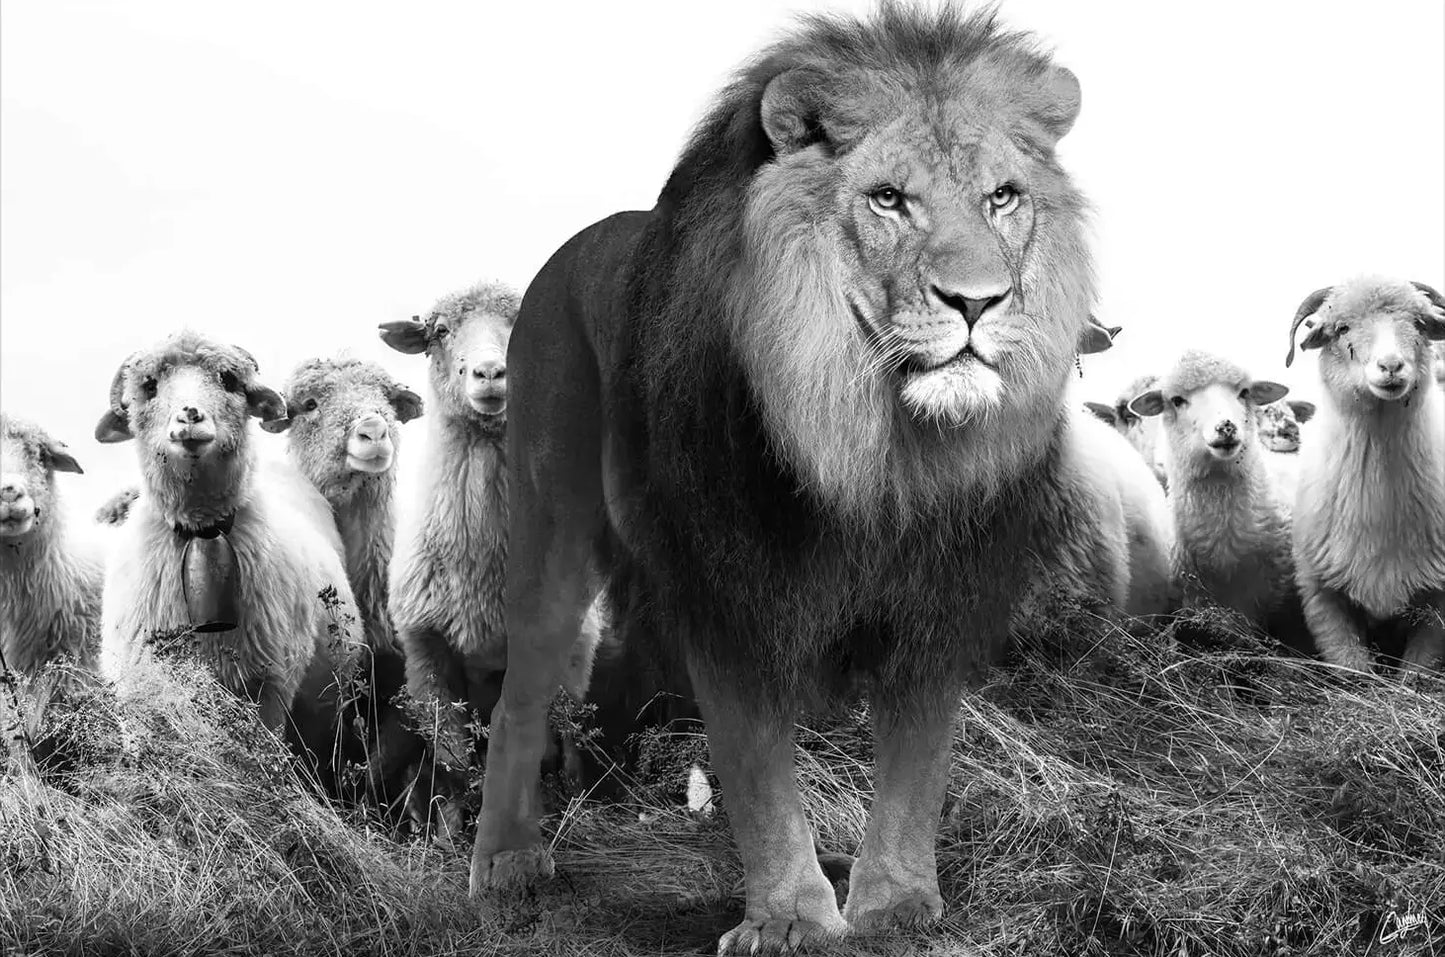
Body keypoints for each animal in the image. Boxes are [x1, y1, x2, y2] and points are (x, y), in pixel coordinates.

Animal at [94, 331, 363, 732]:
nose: (190, 415)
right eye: (149, 386)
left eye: (229, 380)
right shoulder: (139, 694)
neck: (201, 527)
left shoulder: (270, 689)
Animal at [381, 281, 604, 837]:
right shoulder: (427, 656)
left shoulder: (562, 650)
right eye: (440, 331)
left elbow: (546, 745)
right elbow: (456, 760)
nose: (490, 373)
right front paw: (451, 831)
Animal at [471, 5, 1095, 953]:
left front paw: (894, 905)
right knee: (522, 688)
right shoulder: (732, 589)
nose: (979, 302)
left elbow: (918, 759)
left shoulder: (936, 595)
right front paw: (791, 918)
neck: (875, 450)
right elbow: (759, 770)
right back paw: (504, 862)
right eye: (888, 198)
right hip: (553, 519)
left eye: (1002, 197)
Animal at [1284, 277, 1445, 673]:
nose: (1391, 366)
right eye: (1341, 328)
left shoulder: (1437, 605)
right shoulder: (1322, 596)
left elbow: (1414, 676)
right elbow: (1354, 673)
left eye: (1420, 324)